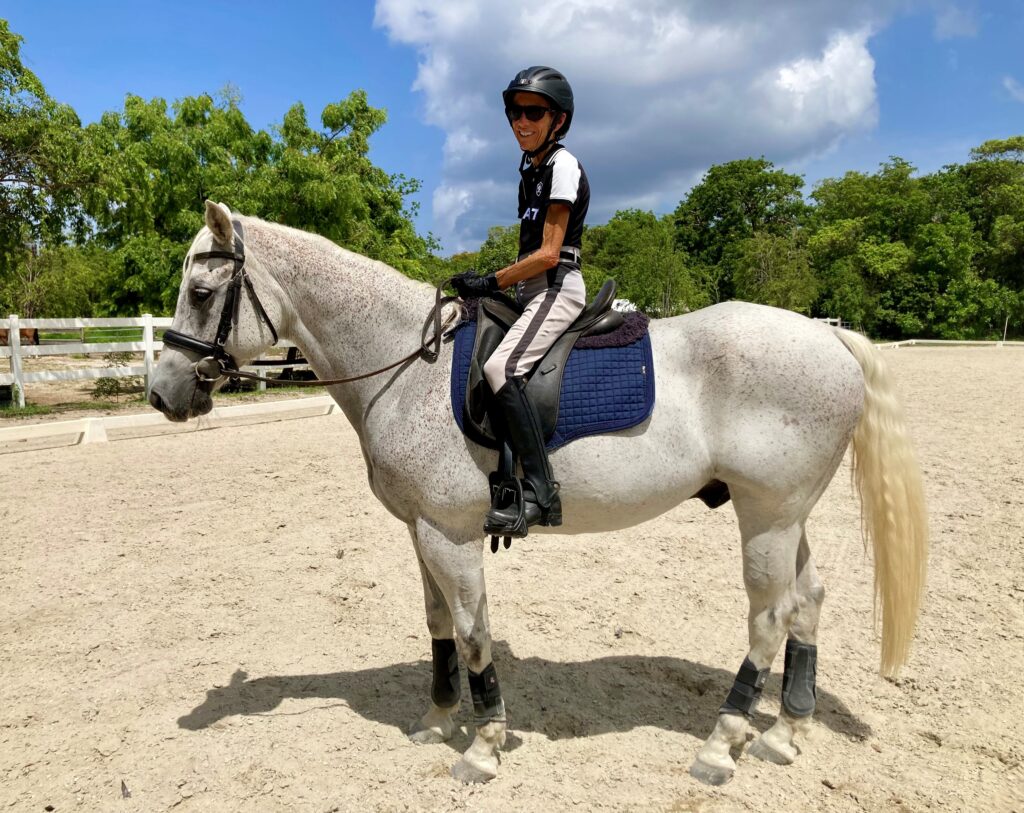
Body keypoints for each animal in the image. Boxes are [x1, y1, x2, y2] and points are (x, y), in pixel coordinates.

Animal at [149, 202, 929, 786]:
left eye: (202, 293)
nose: (161, 393)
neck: (408, 365)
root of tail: (827, 339)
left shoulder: (450, 533)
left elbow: (472, 631)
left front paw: (484, 744)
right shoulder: (422, 530)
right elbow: (438, 622)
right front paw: (437, 720)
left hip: (766, 515)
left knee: (769, 617)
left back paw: (720, 744)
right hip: (785, 513)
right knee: (808, 602)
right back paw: (786, 732)